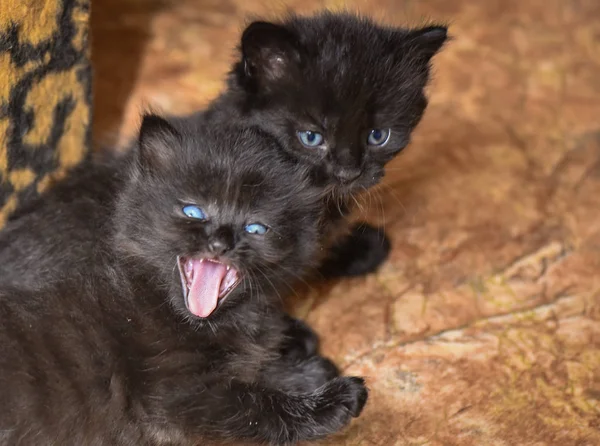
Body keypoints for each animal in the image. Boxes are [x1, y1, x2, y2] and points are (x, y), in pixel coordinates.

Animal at [0, 116, 366, 446]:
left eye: (256, 228)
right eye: (193, 212)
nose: (220, 243)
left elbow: (258, 372)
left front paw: (307, 372)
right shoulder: (179, 394)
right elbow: (259, 405)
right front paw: (333, 401)